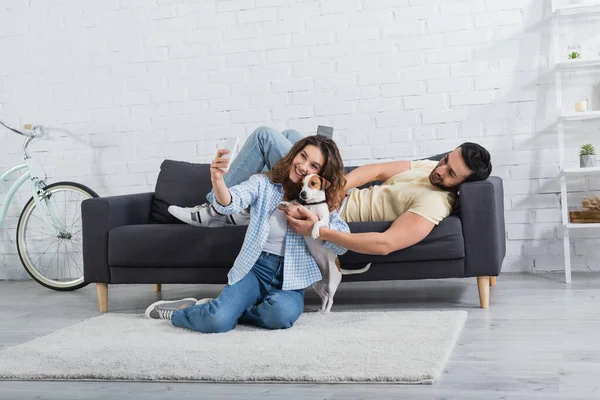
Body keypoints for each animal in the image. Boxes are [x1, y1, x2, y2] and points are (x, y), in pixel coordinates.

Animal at [278, 174, 370, 312]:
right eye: (301, 184)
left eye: (313, 183)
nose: (302, 194)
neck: (312, 204)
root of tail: (339, 269)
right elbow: (297, 205)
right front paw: (286, 203)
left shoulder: (324, 221)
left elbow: (316, 222)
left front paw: (314, 232)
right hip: (317, 285)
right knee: (325, 297)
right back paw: (320, 310)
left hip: (332, 284)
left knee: (331, 299)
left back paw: (326, 312)